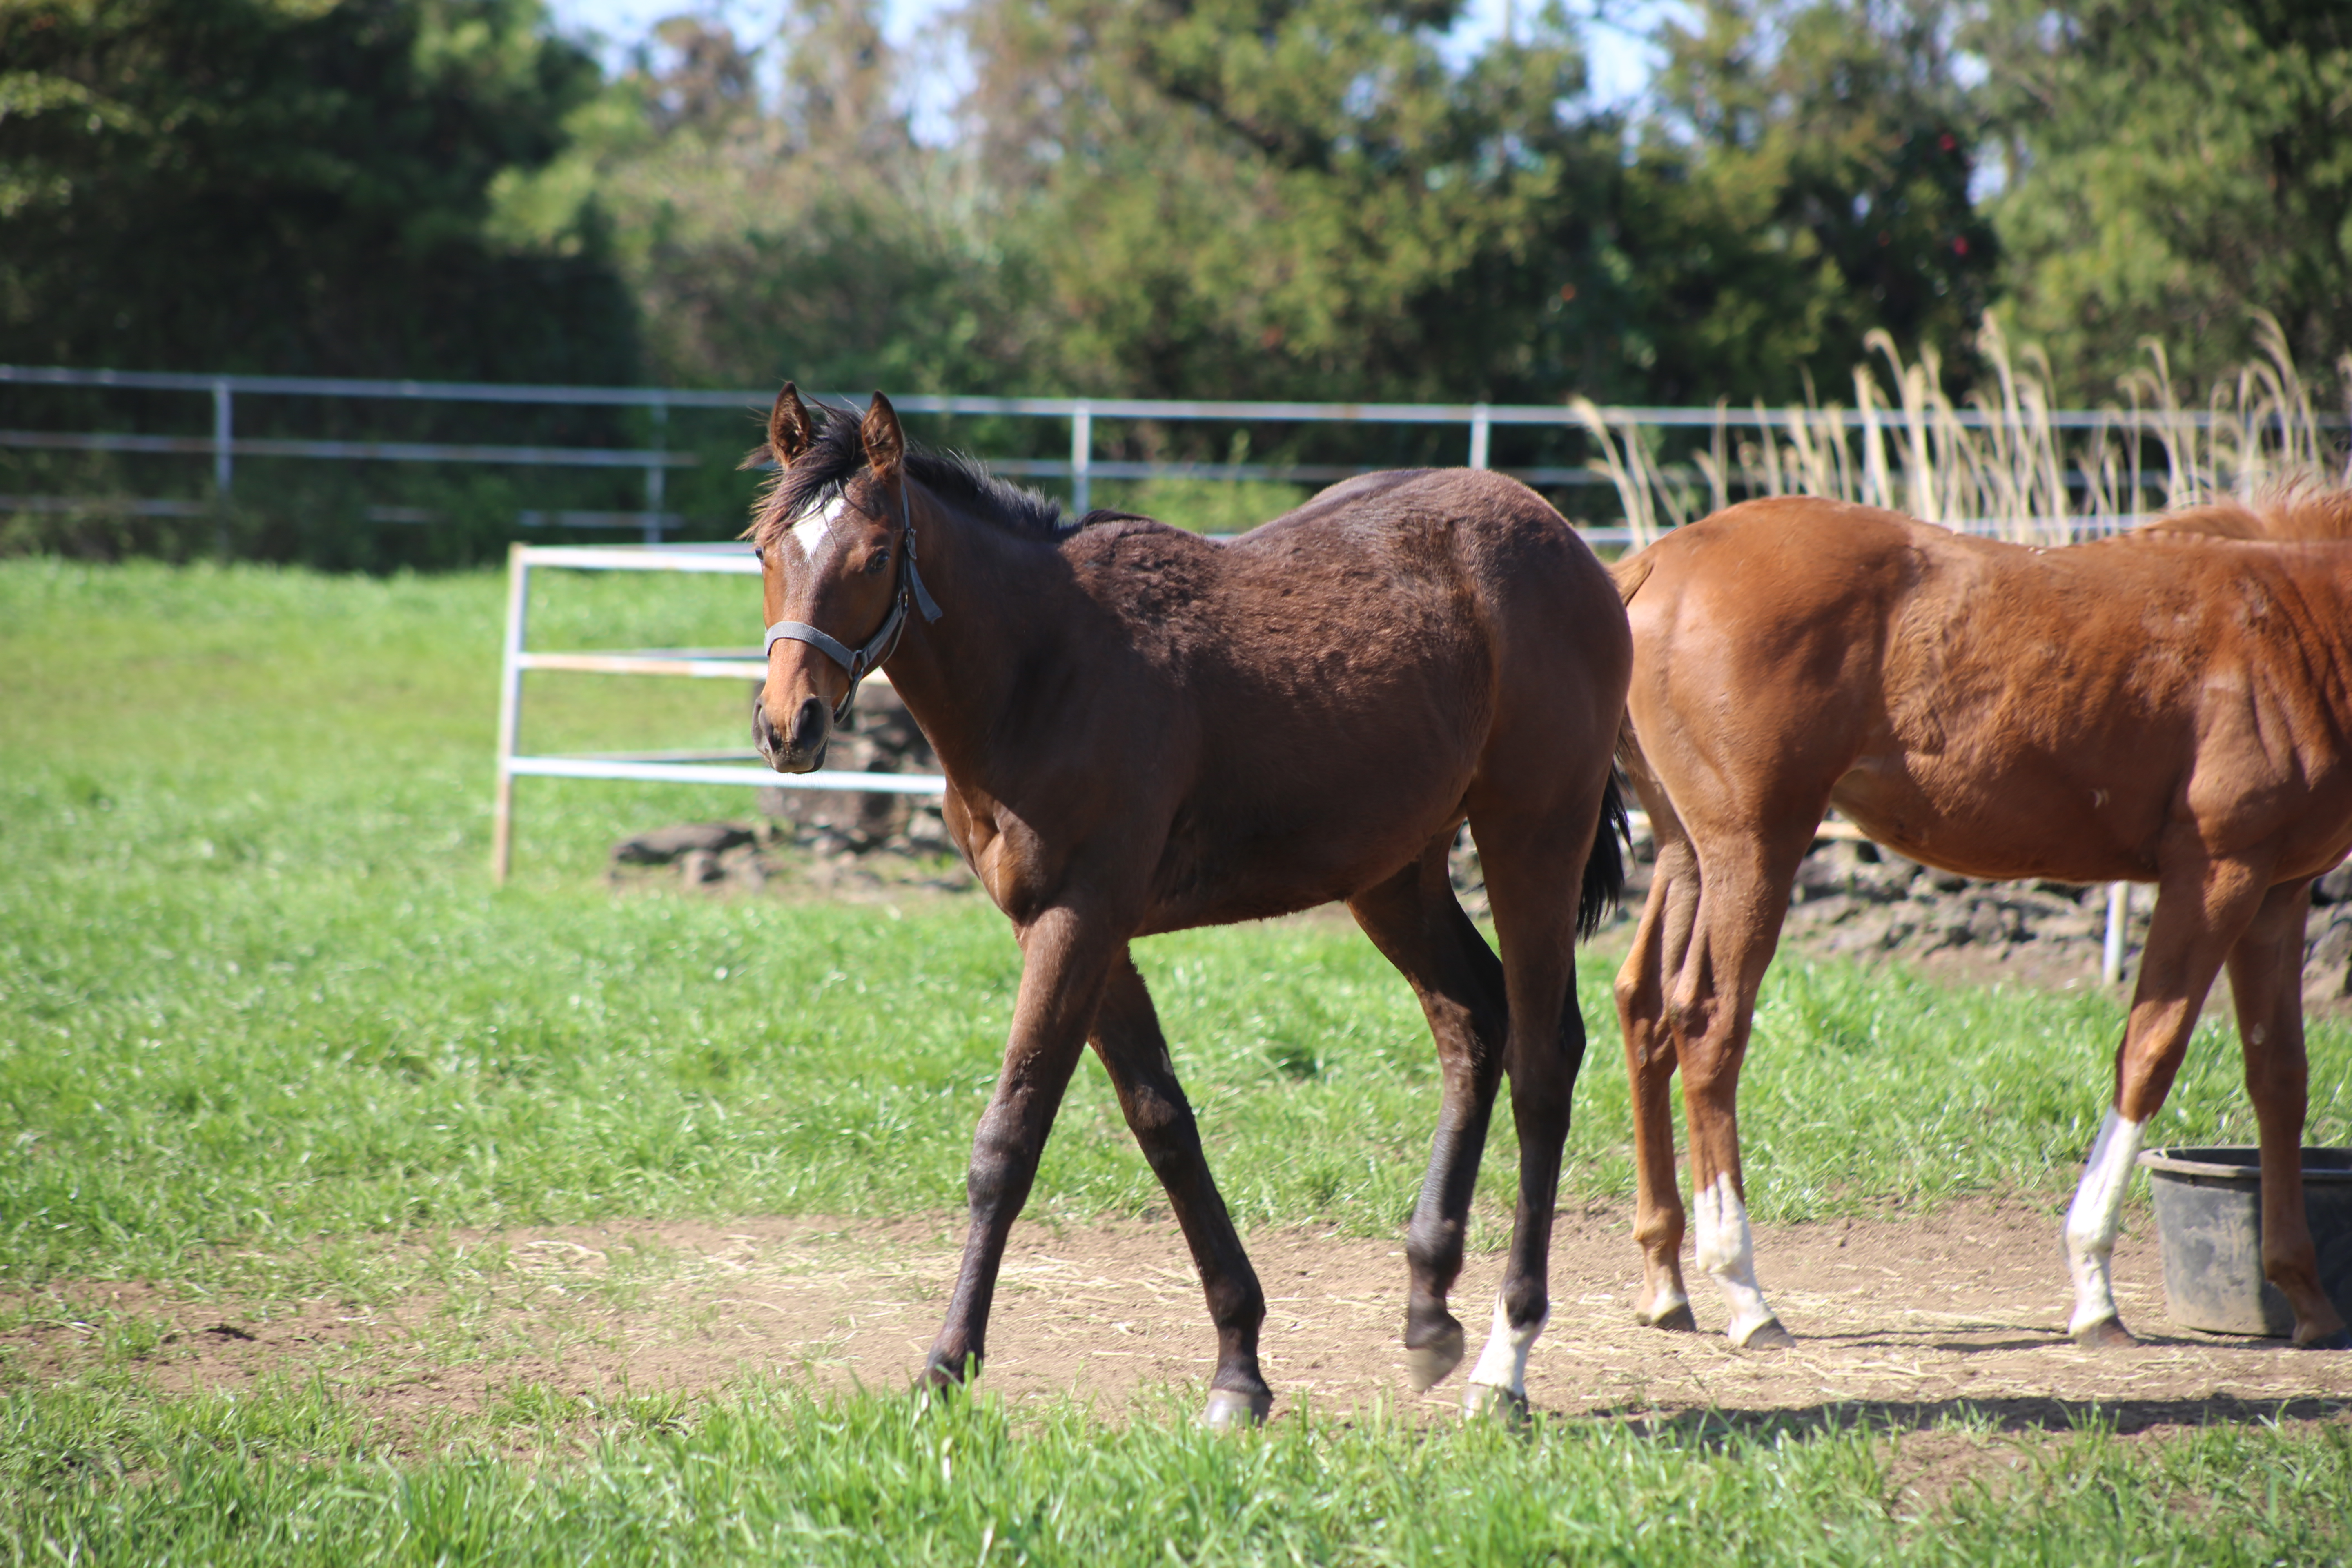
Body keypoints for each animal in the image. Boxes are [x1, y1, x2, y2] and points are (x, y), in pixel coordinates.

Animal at [743, 390, 1627, 1420]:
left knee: (1541, 1060)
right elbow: (1162, 1122)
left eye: (876, 552)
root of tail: (1569, 545)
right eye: (765, 550)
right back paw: (1426, 1309)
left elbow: (1008, 1140)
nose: (789, 726)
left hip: (1532, 839)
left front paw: (945, 1364)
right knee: (1472, 1025)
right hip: (1394, 876)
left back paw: (1505, 1357)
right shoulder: (1083, 932)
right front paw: (1238, 1363)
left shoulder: (1078, 921)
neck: (1045, 667)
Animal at [1608, 491, 2352, 1354]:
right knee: (1708, 1024)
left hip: (1683, 854)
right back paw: (1745, 1292)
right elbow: (2150, 1054)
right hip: (1754, 850)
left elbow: (2280, 1077)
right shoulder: (2218, 873)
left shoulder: (2280, 891)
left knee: (1645, 1008)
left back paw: (1666, 1280)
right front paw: (2094, 1290)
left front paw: (2307, 1296)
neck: (2292, 622)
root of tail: (1658, 561)